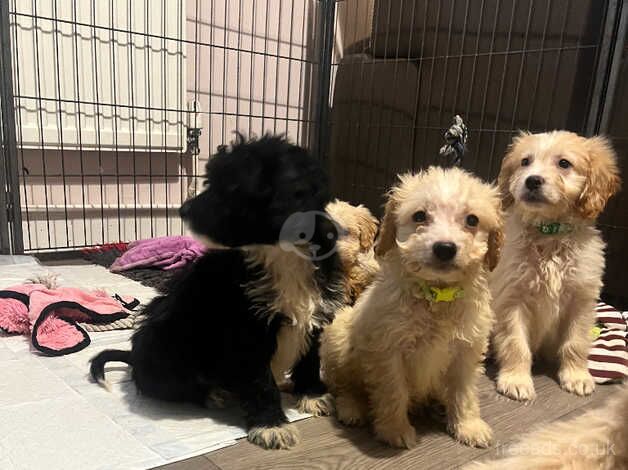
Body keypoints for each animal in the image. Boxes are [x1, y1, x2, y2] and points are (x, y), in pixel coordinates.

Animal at [89, 134, 344, 450]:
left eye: (232, 188)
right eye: (211, 181)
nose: (182, 210)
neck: (279, 252)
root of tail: (134, 357)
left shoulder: (315, 313)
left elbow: (309, 359)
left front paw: (312, 395)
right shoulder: (246, 332)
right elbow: (261, 382)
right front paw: (271, 424)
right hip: (166, 344)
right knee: (165, 385)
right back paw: (212, 393)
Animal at [322, 166, 502, 448]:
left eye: (472, 220)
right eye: (419, 216)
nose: (444, 248)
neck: (437, 294)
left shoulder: (467, 350)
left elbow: (464, 393)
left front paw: (468, 425)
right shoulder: (388, 350)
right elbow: (393, 391)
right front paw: (395, 430)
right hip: (338, 341)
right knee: (343, 385)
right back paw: (352, 408)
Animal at [494, 131, 620, 400]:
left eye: (564, 163)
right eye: (525, 162)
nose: (532, 181)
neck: (549, 232)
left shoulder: (581, 301)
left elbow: (576, 343)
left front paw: (576, 376)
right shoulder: (512, 299)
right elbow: (515, 343)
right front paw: (516, 379)